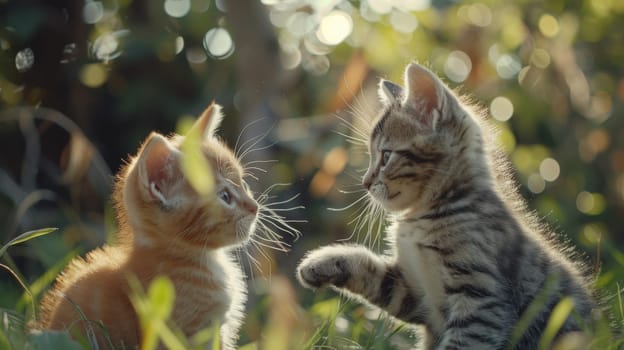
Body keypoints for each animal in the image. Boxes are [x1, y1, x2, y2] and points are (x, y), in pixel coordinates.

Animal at [298, 63, 596, 350]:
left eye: (386, 156)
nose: (365, 182)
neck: (431, 211)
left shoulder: (482, 303)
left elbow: (462, 342)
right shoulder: (413, 292)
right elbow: (372, 272)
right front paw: (321, 263)